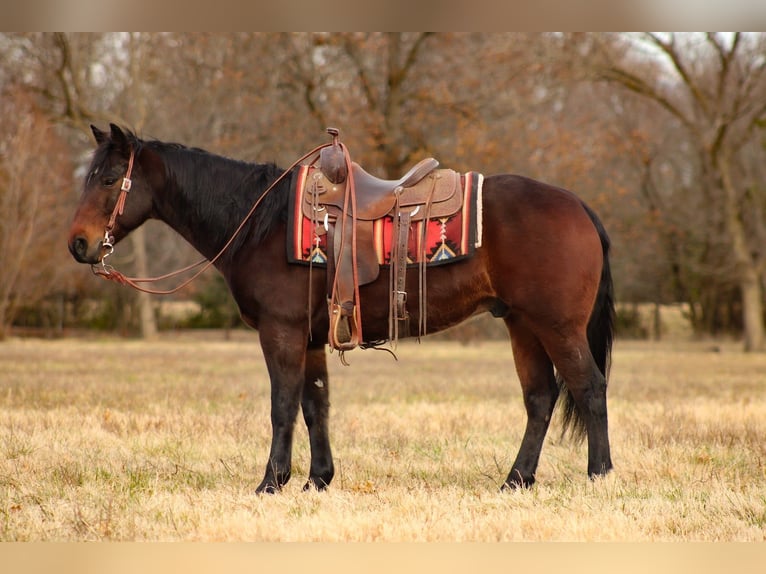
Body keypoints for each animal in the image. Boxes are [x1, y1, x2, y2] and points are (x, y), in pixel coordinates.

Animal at [68, 124, 615, 494]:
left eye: (111, 178)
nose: (78, 244)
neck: (261, 224)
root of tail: (578, 206)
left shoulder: (281, 332)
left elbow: (283, 405)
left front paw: (272, 482)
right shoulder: (310, 338)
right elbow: (316, 405)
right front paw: (318, 480)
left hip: (557, 326)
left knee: (589, 387)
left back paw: (599, 474)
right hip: (523, 325)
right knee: (540, 398)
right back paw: (516, 480)